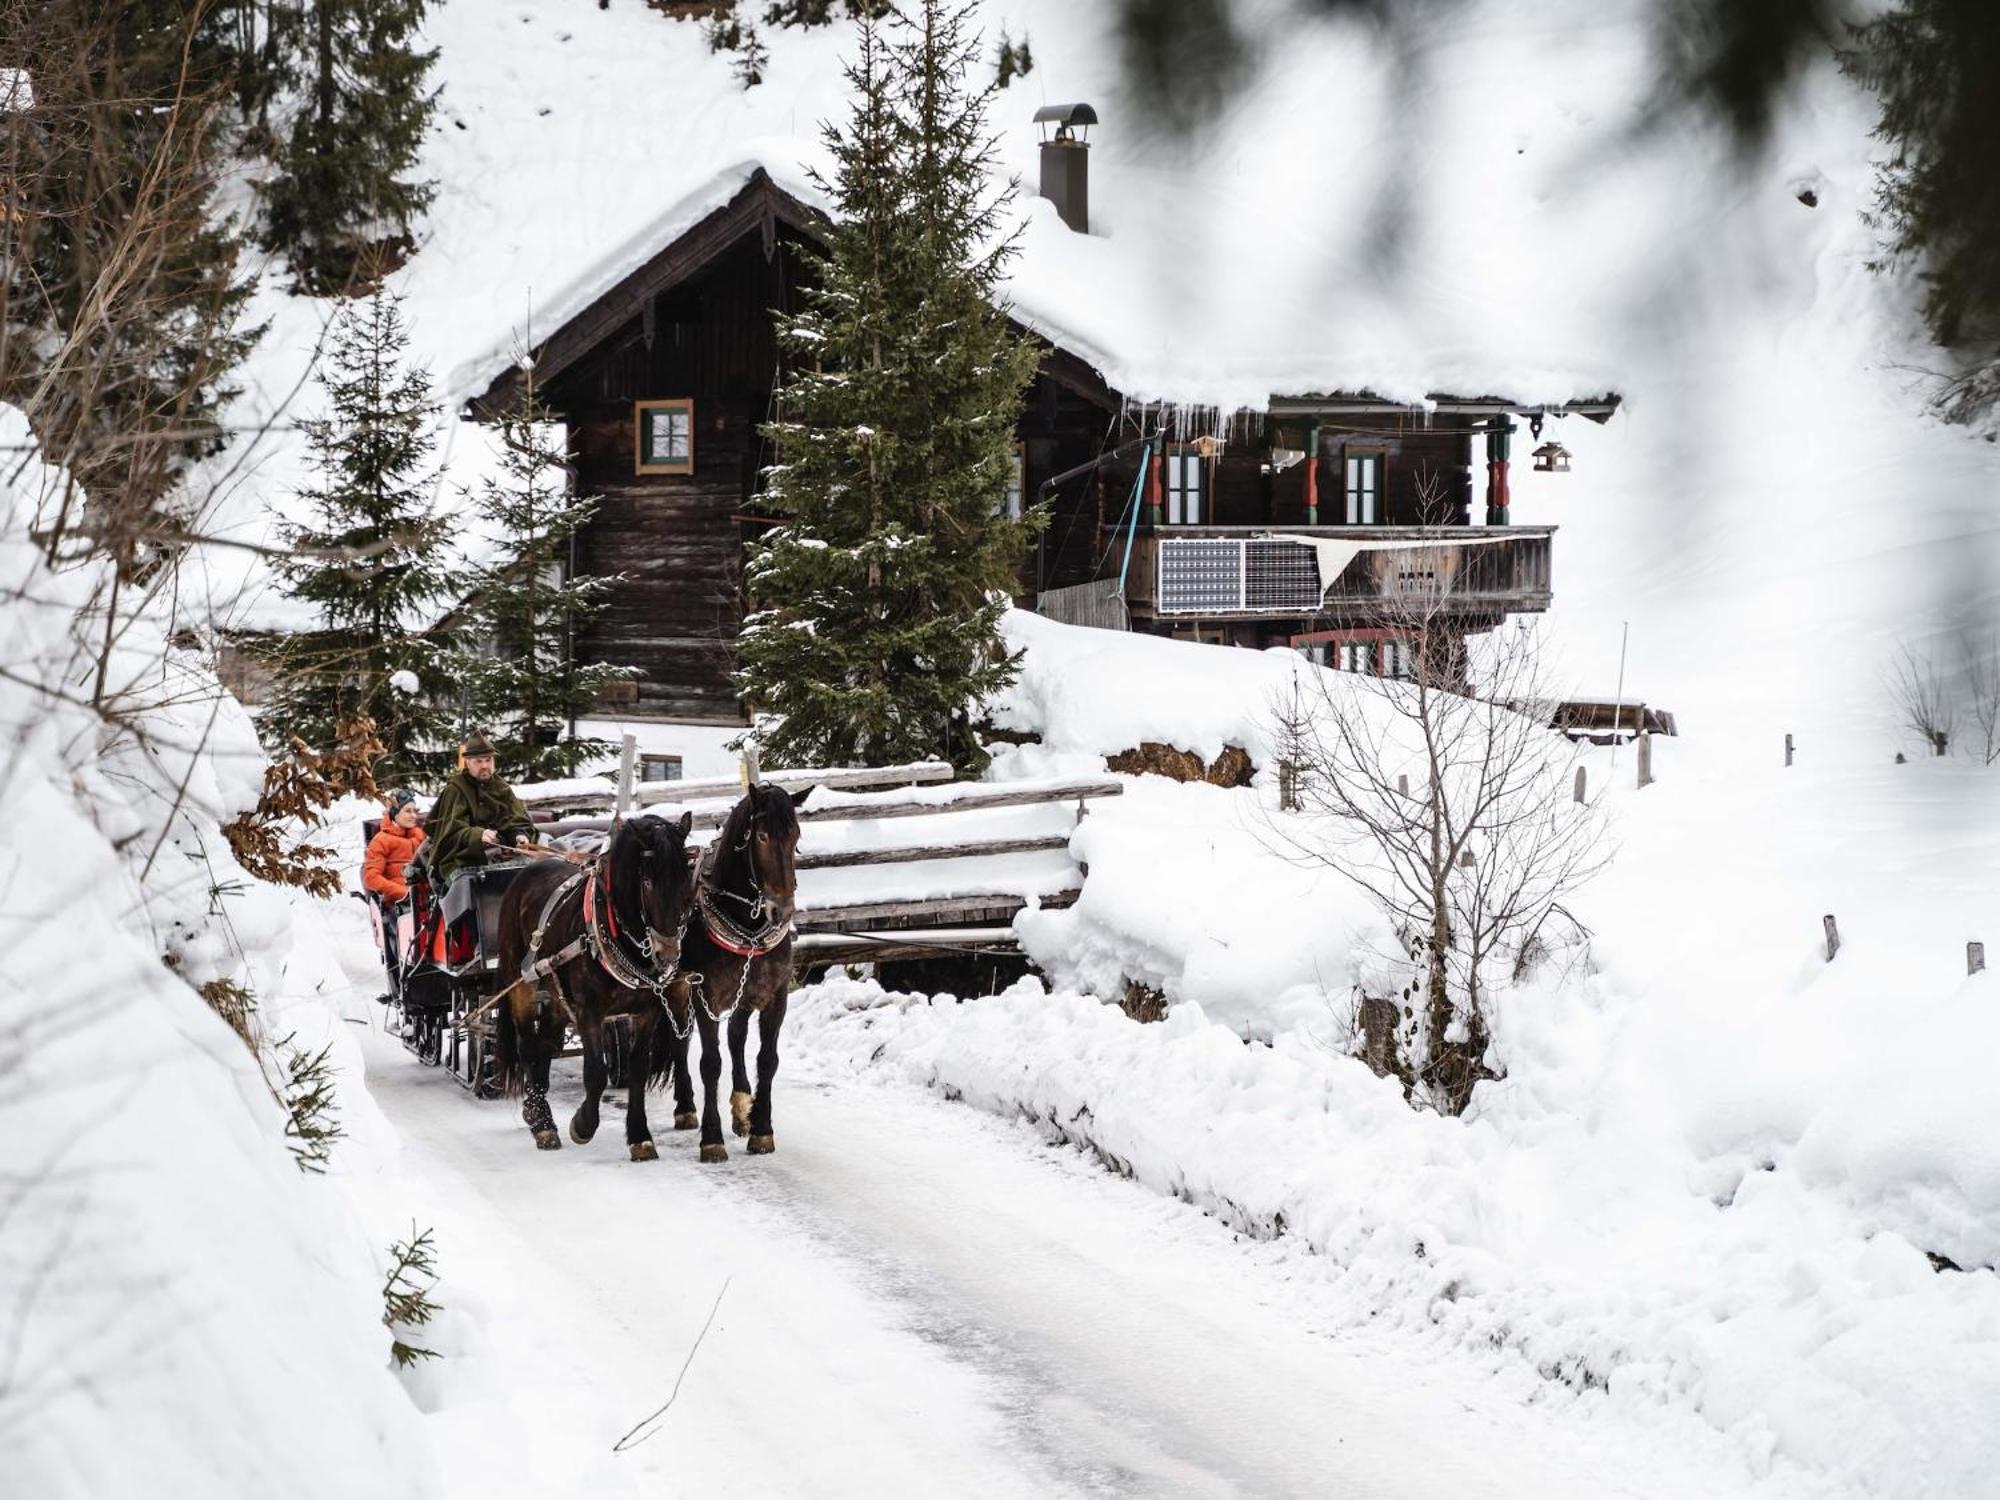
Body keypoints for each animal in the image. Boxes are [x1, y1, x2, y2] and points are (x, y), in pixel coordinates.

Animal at [492, 812, 696, 1160]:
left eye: (686, 880)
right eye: (648, 882)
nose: (668, 955)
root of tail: (525, 871)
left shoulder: (647, 1011)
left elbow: (638, 1070)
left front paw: (640, 1137)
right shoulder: (589, 1010)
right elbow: (595, 1072)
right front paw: (583, 1124)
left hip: (557, 997)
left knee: (546, 1043)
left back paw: (537, 1110)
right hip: (520, 983)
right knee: (528, 1045)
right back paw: (542, 1121)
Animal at [664, 780, 804, 1168]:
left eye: (796, 834)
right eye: (762, 836)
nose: (782, 911)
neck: (747, 923)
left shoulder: (774, 996)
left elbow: (766, 1060)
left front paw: (761, 1129)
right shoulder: (705, 995)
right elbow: (709, 1063)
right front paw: (712, 1139)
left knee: (736, 1036)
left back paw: (742, 1107)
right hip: (676, 987)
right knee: (680, 1041)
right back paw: (685, 1107)